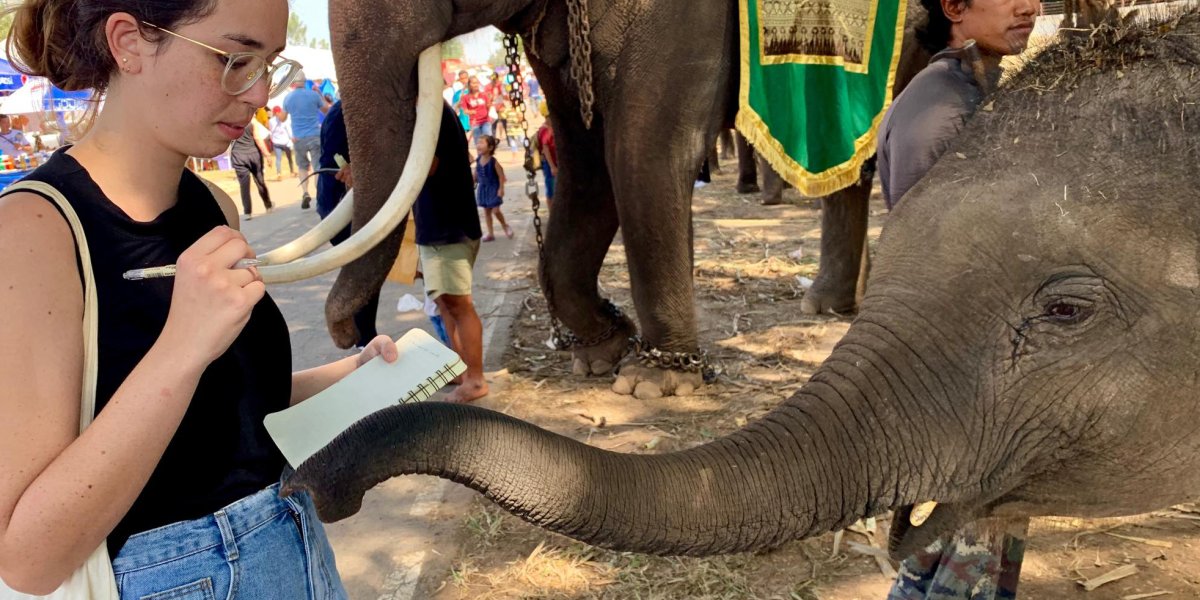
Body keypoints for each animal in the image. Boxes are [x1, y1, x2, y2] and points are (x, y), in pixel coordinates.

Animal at [326, 0, 926, 398]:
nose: (348, 336)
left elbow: (642, 150)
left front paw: (651, 382)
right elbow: (586, 155)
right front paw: (602, 355)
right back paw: (832, 306)